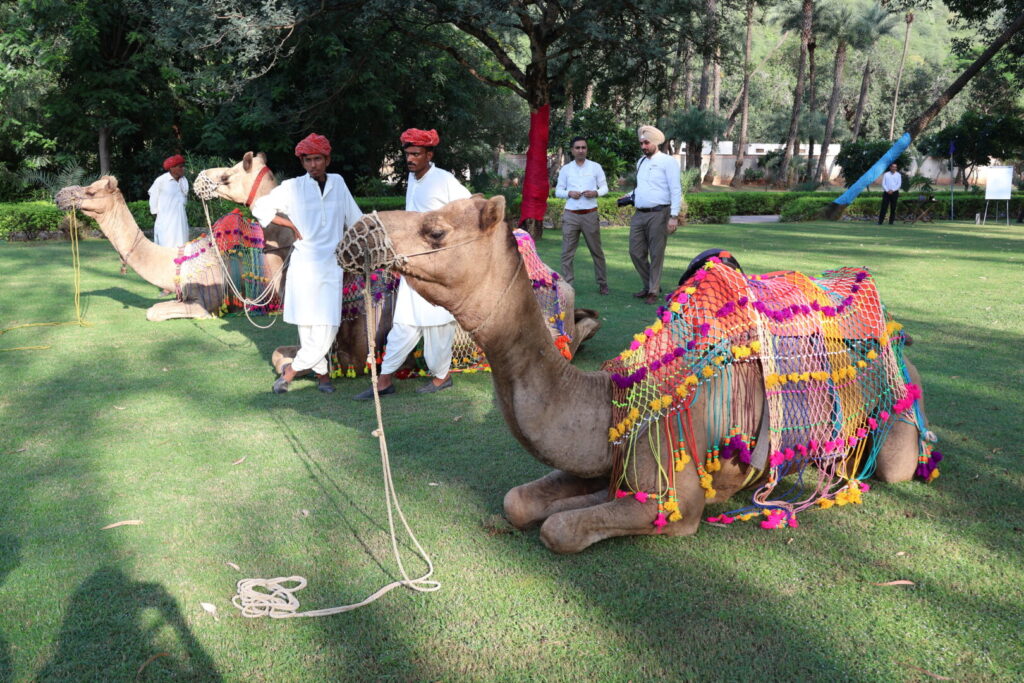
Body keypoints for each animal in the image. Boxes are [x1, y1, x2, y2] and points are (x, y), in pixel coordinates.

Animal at [338, 196, 935, 553]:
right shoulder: (600, 457)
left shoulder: (679, 501)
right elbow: (521, 502)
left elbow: (560, 528)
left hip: (896, 423)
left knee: (899, 462)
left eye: (435, 230)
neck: (612, 401)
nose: (358, 230)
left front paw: (574, 513)